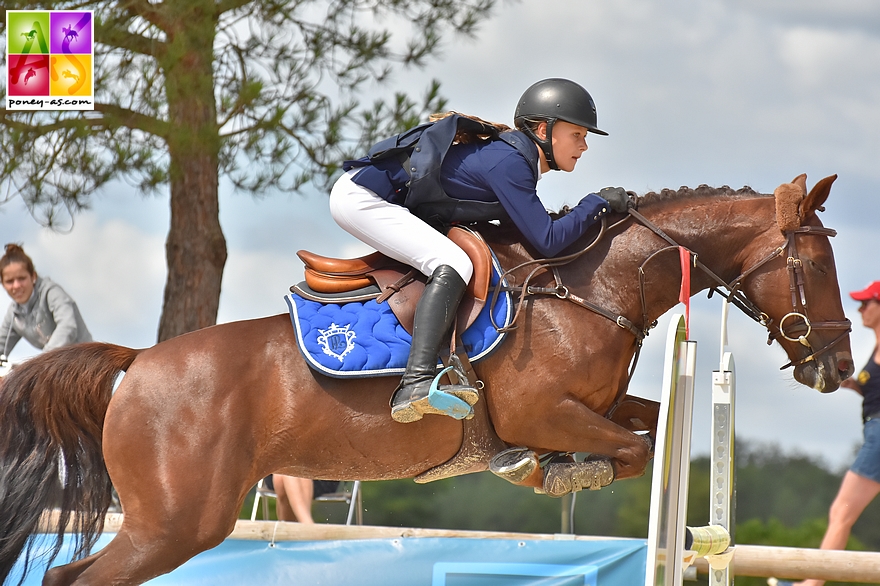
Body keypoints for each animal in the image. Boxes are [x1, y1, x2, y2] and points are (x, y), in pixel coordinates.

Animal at [0, 172, 852, 580]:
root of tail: (138, 363)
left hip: (172, 524)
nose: (839, 367)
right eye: (814, 264)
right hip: (174, 524)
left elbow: (641, 428)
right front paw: (549, 472)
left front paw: (562, 468)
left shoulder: (597, 405)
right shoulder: (541, 411)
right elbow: (631, 451)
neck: (594, 288)